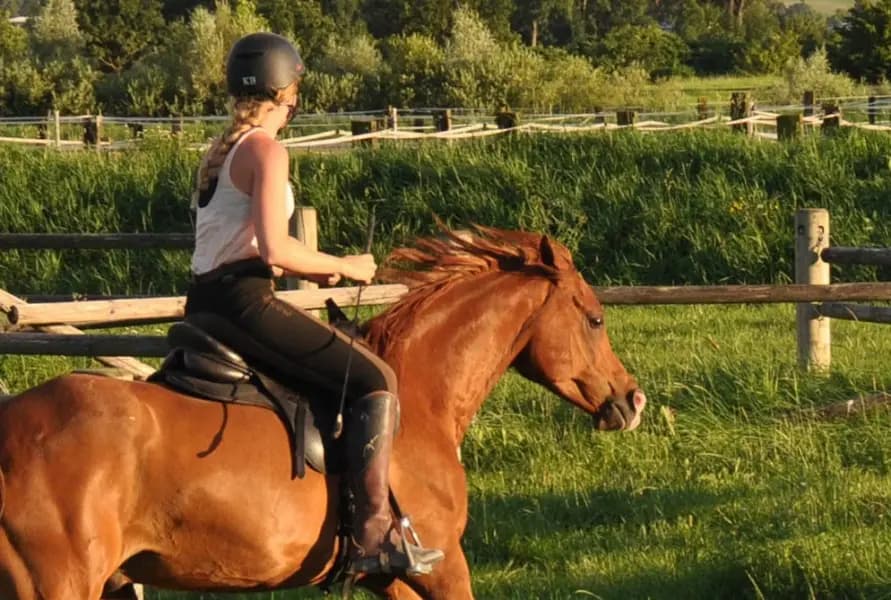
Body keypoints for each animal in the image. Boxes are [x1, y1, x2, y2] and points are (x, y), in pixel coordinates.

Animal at [0, 226, 647, 600]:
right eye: (595, 318)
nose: (632, 399)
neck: (421, 398)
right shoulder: (440, 568)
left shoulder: (390, 581)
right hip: (56, 587)